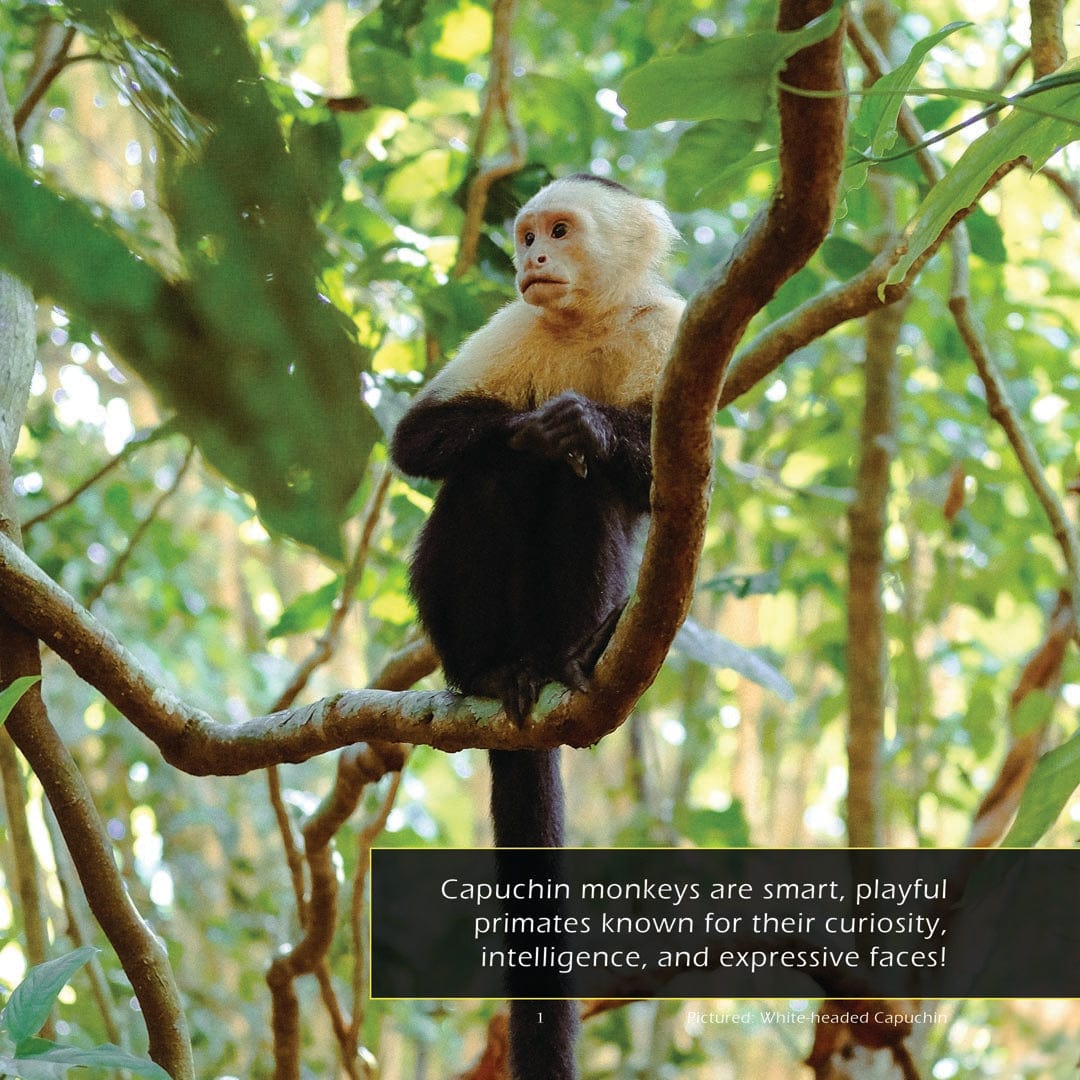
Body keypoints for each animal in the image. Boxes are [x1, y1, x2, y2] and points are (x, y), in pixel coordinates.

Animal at [390, 173, 683, 1080]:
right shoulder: (512, 322)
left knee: (590, 494)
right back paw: (488, 671)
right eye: (524, 237)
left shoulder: (667, 328)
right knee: (489, 474)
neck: (584, 318)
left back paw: (566, 657)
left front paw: (581, 425)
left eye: (560, 231)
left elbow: (668, 475)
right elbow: (419, 440)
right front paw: (533, 426)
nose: (535, 260)